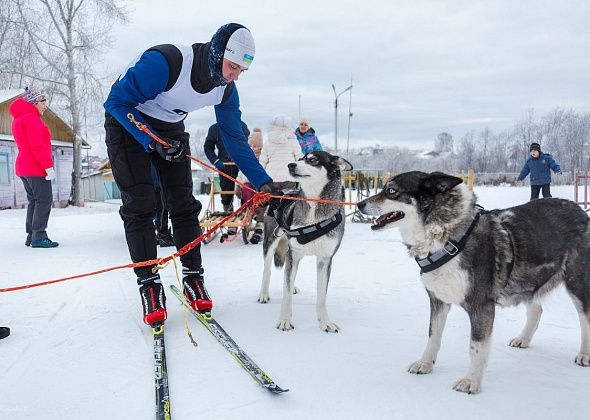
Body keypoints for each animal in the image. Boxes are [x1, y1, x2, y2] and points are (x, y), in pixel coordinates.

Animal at [258, 151, 352, 332]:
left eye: (312, 160)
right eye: (300, 158)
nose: (290, 165)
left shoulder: (325, 259)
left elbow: (321, 296)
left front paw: (325, 322)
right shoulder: (293, 254)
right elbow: (286, 293)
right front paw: (285, 320)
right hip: (271, 242)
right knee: (267, 270)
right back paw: (264, 294)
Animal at [358, 171, 588, 394]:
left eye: (391, 191)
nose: (360, 204)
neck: (447, 238)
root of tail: (581, 211)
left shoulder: (481, 305)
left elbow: (476, 347)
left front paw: (471, 381)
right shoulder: (438, 300)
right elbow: (433, 335)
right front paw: (425, 363)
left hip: (577, 283)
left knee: (585, 318)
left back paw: (584, 355)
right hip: (529, 281)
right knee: (536, 309)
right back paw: (523, 339)